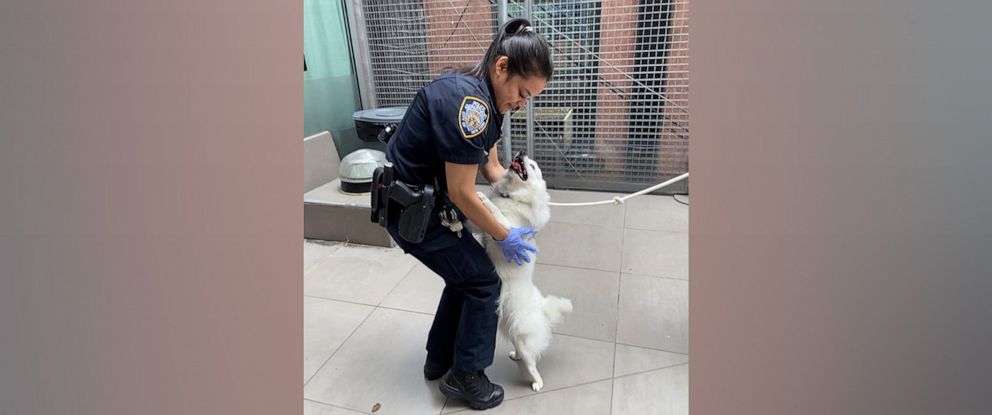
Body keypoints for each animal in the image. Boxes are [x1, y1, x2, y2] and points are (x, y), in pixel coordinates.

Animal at [472, 153, 572, 394]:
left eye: (533, 166)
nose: (520, 154)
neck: (512, 196)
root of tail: (543, 309)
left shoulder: (506, 229)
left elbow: (497, 214)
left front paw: (483, 199)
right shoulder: (486, 230)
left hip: (524, 339)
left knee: (532, 364)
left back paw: (537, 383)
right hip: (515, 334)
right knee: (522, 354)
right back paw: (514, 355)